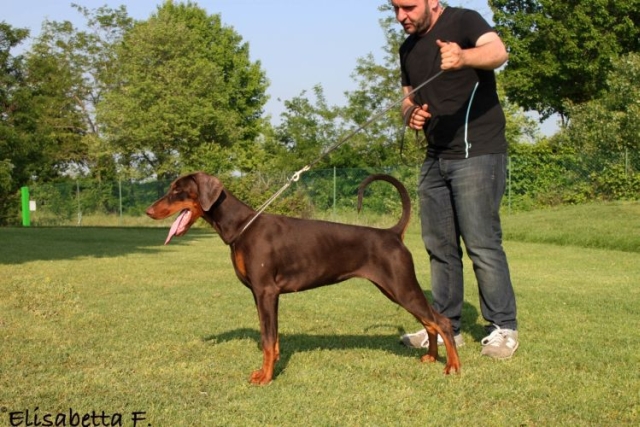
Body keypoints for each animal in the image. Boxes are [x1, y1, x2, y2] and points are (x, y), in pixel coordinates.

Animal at [146, 172, 460, 384]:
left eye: (177, 190)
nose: (148, 211)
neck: (242, 226)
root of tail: (392, 233)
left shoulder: (266, 292)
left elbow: (268, 339)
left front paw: (265, 377)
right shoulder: (259, 295)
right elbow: (271, 338)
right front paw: (269, 368)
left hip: (401, 287)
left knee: (442, 321)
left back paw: (452, 367)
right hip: (396, 289)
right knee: (430, 322)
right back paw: (432, 357)